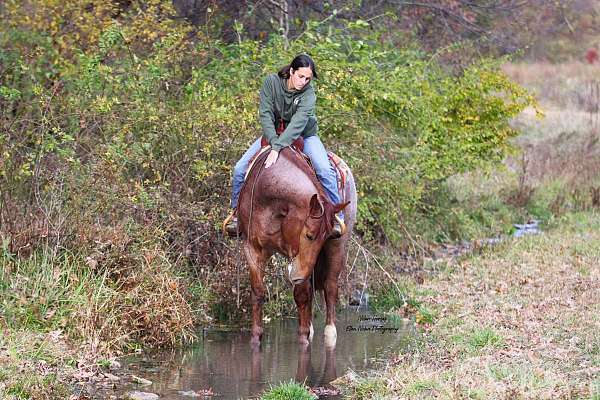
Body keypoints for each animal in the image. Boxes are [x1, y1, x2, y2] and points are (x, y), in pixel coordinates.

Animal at [236, 146, 356, 346]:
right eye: (309, 235)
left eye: (324, 237)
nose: (298, 276)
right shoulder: (252, 248)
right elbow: (258, 292)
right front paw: (255, 336)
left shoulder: (298, 258)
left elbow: (301, 293)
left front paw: (303, 337)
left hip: (338, 247)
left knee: (330, 287)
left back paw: (329, 332)